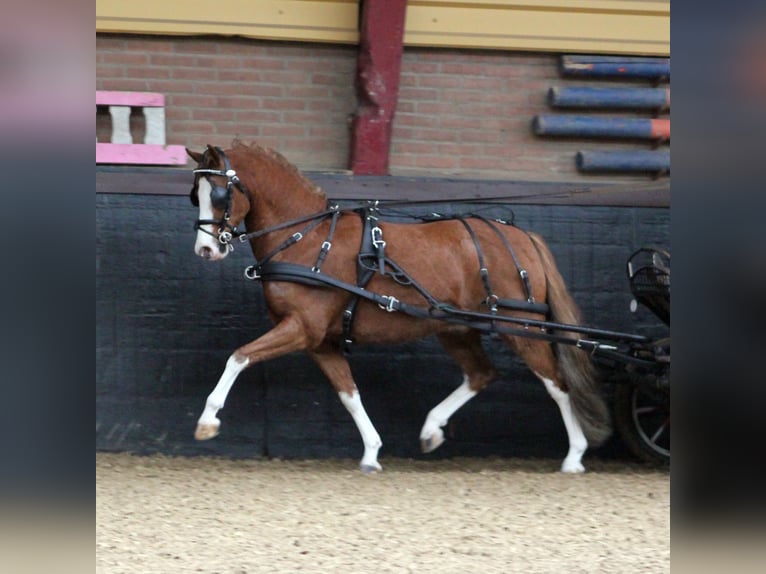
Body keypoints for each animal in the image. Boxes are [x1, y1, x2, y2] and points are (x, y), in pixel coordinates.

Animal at [187, 142, 611, 473]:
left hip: (521, 326)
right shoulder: (320, 341)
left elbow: (239, 357)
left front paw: (208, 420)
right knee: (481, 374)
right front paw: (372, 452)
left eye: (220, 194)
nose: (206, 250)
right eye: (195, 194)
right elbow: (348, 393)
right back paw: (431, 429)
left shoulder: (303, 328)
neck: (307, 239)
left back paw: (574, 456)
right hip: (456, 329)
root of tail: (523, 237)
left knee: (557, 383)